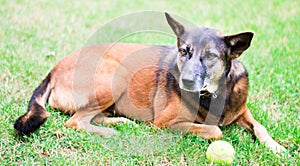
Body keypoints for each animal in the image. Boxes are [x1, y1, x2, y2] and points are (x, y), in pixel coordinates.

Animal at [14, 12, 286, 153]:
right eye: (184, 51)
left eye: (210, 56)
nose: (186, 81)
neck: (214, 93)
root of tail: (54, 69)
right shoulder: (166, 123)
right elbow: (215, 130)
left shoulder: (242, 111)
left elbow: (260, 127)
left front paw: (276, 147)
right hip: (116, 75)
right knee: (75, 121)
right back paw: (110, 131)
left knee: (89, 117)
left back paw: (120, 122)